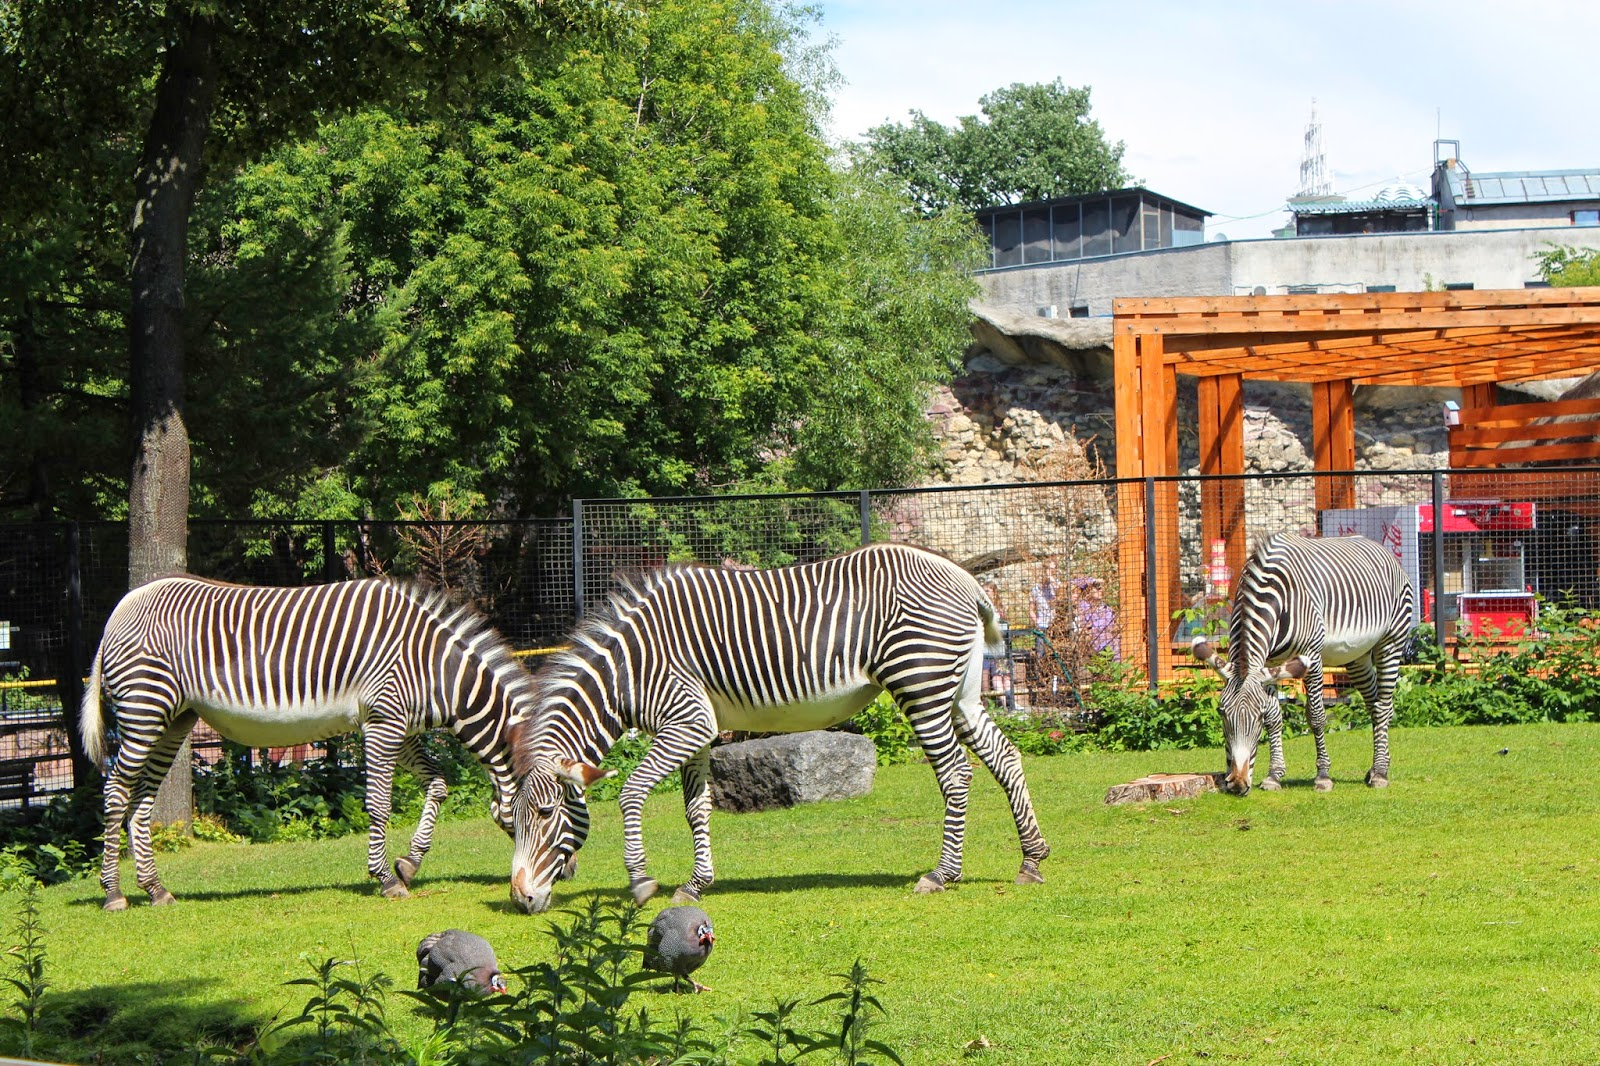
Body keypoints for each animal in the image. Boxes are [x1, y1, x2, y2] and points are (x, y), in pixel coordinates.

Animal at [82, 576, 569, 909]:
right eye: (552, 812)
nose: (568, 876)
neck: (437, 670)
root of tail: (121, 607)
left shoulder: (401, 727)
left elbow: (438, 785)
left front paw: (409, 864)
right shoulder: (383, 720)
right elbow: (379, 803)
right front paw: (386, 879)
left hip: (174, 719)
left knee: (141, 800)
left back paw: (155, 889)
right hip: (144, 707)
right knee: (116, 792)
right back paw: (113, 893)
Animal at [499, 541, 1049, 915]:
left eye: (545, 814)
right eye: (511, 823)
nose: (521, 899)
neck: (630, 670)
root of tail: (965, 578)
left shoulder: (687, 720)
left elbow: (632, 792)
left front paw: (641, 882)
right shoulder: (700, 729)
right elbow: (696, 809)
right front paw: (696, 884)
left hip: (921, 683)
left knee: (956, 773)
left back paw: (942, 874)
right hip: (961, 692)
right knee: (1005, 757)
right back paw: (1031, 860)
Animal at [1190, 528, 1414, 787]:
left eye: (1257, 717)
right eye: (1222, 712)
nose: (1236, 784)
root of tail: (1378, 546)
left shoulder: (1311, 656)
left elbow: (1316, 716)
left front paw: (1323, 776)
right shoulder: (1269, 664)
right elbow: (1275, 717)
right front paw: (1274, 775)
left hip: (1390, 642)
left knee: (1383, 706)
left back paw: (1380, 772)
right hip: (1357, 657)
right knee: (1374, 703)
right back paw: (1377, 766)